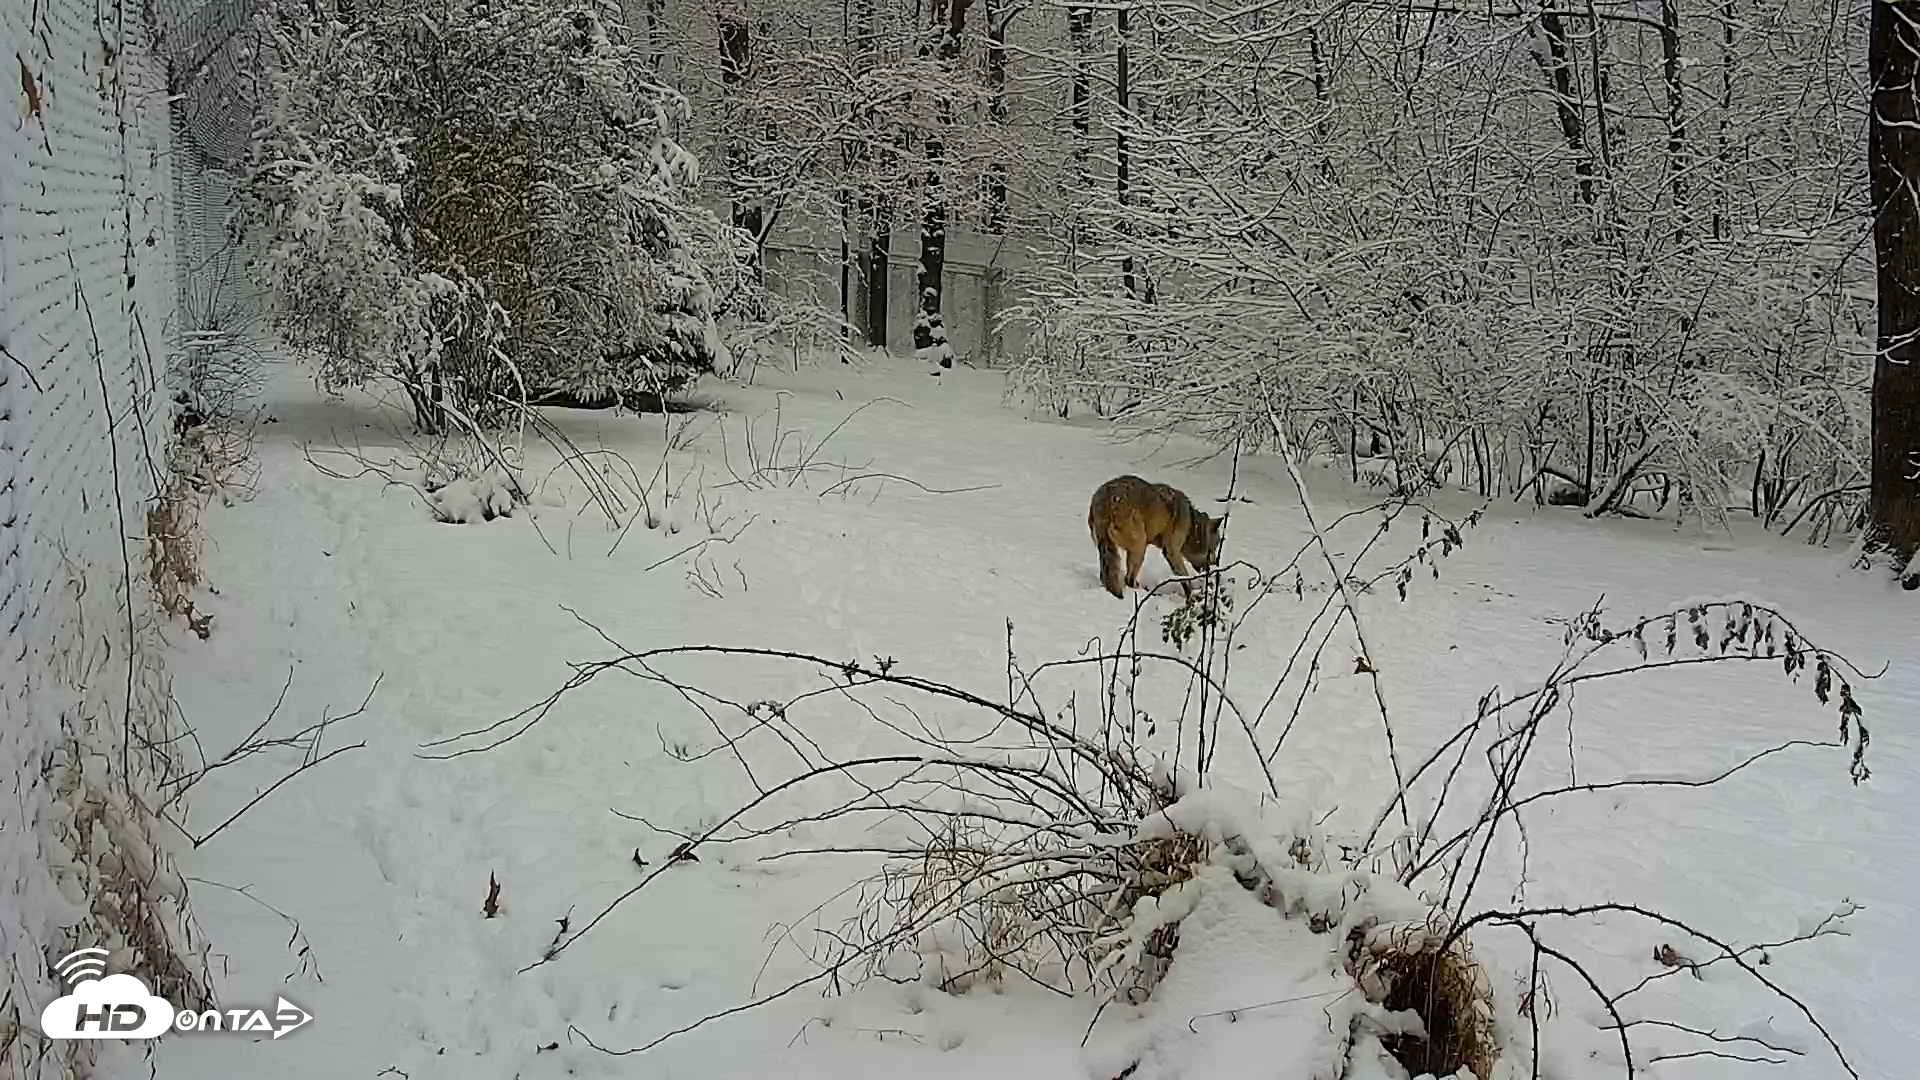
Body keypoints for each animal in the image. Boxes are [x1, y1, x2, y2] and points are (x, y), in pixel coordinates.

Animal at [1087, 475, 1224, 599]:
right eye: (1213, 548)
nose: (1215, 564)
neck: (1191, 524)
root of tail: (1106, 502)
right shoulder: (1172, 551)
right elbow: (1185, 578)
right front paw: (1191, 595)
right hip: (1139, 548)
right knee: (1128, 579)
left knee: (1108, 576)